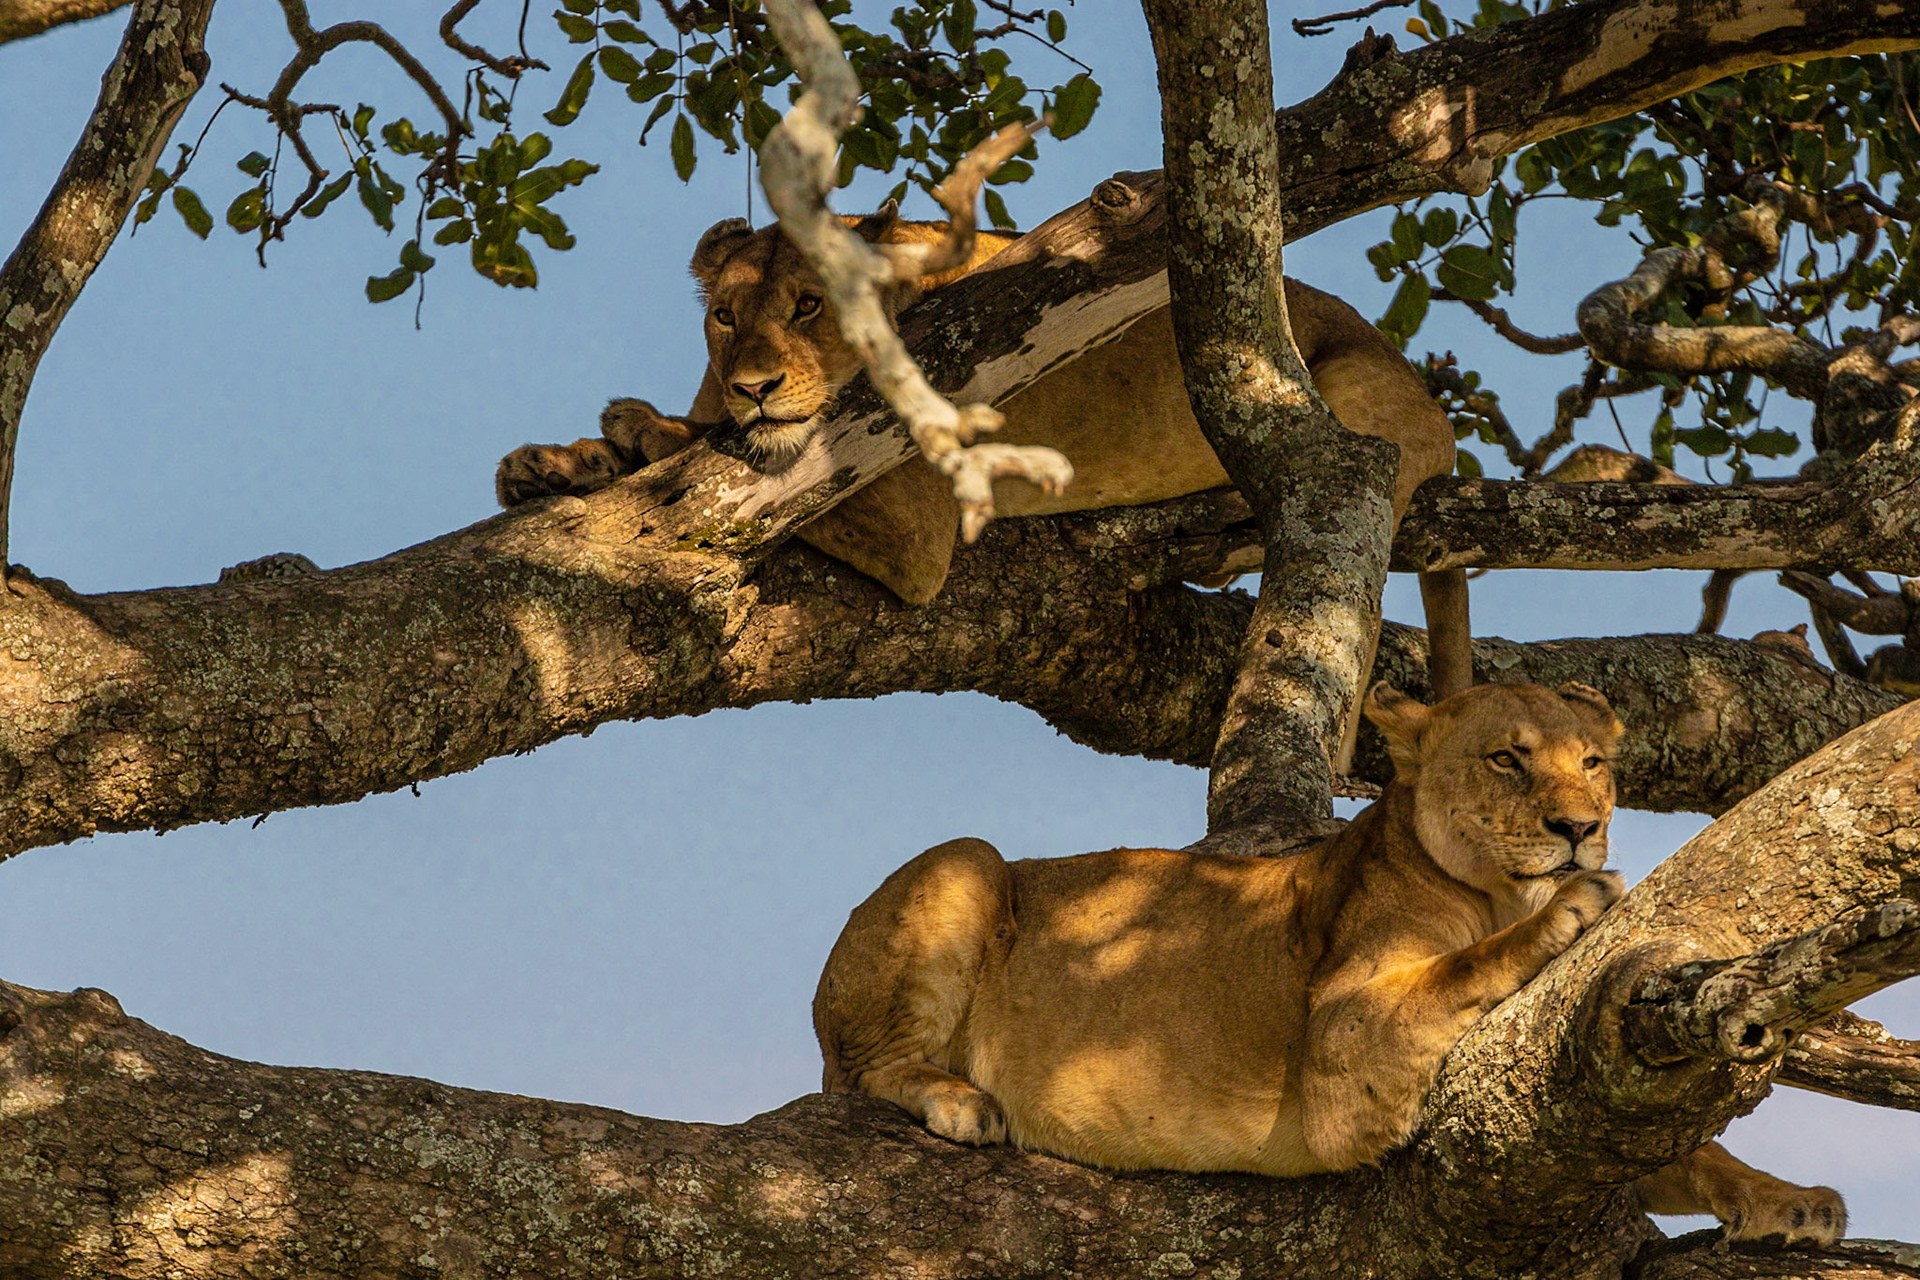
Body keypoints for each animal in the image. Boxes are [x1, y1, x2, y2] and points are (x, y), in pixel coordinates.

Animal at [495, 208, 1474, 699]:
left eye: (810, 306)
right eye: (726, 317)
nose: (754, 386)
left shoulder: (913, 523)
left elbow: (727, 472)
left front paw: (644, 430)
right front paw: (552, 462)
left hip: (1347, 403)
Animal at [810, 681, 1846, 1245]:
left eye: (1594, 762)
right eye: (1507, 760)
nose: (1579, 828)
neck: (1497, 891)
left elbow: (1690, 1150)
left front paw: (1785, 1200)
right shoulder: (1342, 1048)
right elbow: (1466, 965)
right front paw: (1578, 905)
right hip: (969, 860)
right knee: (865, 1069)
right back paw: (960, 1099)